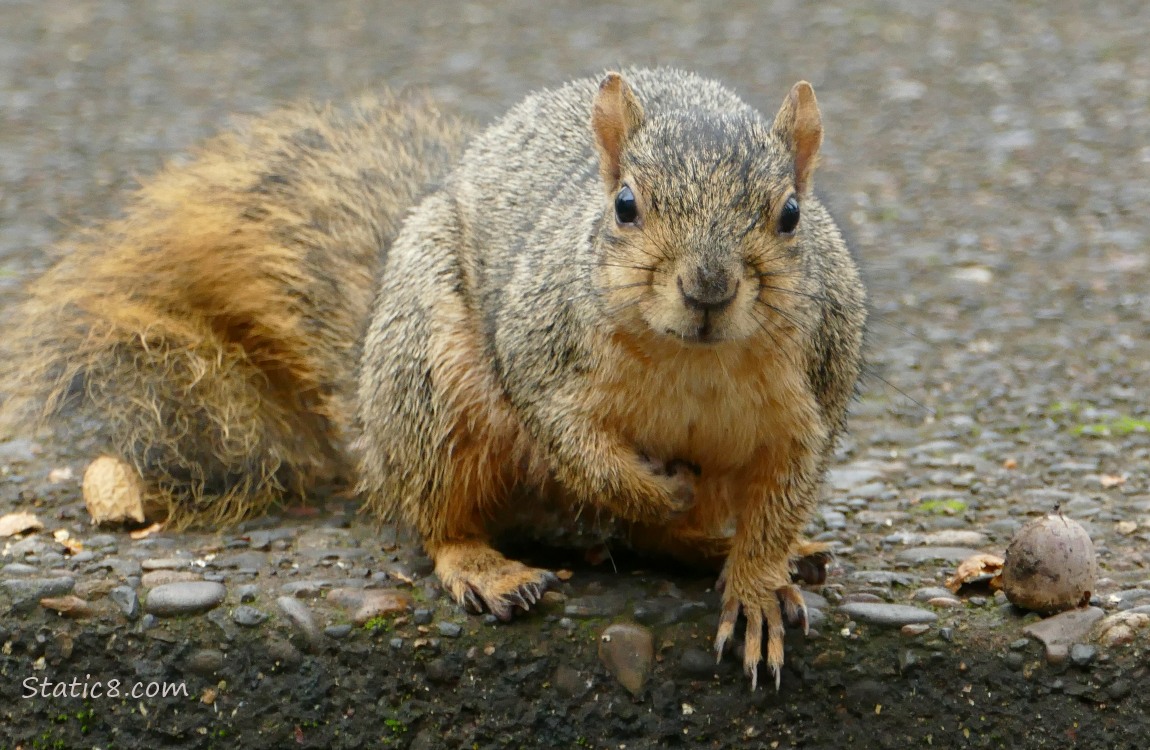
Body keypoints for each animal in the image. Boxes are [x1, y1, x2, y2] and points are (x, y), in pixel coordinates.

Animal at [0, 67, 864, 690]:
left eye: (791, 214)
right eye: (625, 206)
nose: (709, 288)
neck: (694, 357)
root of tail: (373, 440)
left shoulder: (809, 404)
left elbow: (780, 500)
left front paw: (756, 587)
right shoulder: (539, 355)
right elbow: (581, 449)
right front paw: (654, 486)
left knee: (653, 540)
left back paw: (742, 550)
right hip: (432, 383)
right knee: (443, 518)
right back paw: (489, 566)